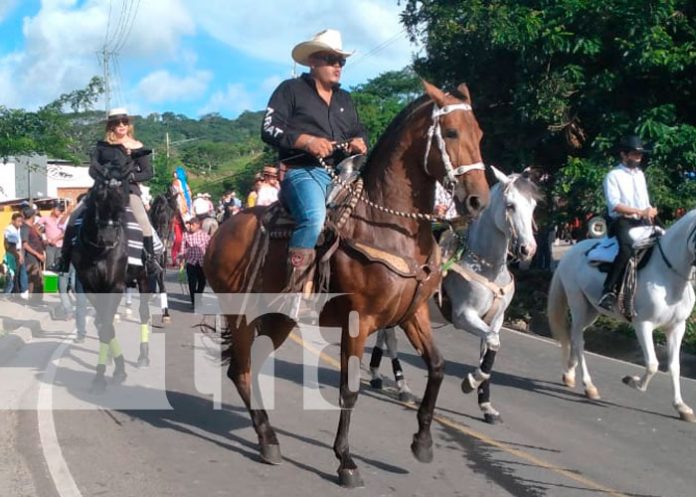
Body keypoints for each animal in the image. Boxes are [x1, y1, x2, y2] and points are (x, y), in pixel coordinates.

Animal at [73, 169, 152, 394]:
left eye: (121, 206)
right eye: (97, 200)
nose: (109, 239)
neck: (98, 252)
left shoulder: (115, 287)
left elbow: (107, 326)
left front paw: (106, 374)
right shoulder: (91, 288)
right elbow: (104, 325)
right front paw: (112, 365)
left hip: (145, 279)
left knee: (144, 313)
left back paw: (143, 356)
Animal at [204, 82, 490, 488]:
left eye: (478, 134)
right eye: (450, 133)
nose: (478, 200)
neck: (389, 228)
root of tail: (221, 229)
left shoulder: (412, 313)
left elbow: (436, 366)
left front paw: (422, 441)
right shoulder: (359, 320)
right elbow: (349, 389)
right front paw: (346, 461)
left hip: (280, 318)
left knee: (251, 365)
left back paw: (268, 435)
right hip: (241, 314)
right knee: (240, 370)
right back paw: (267, 441)